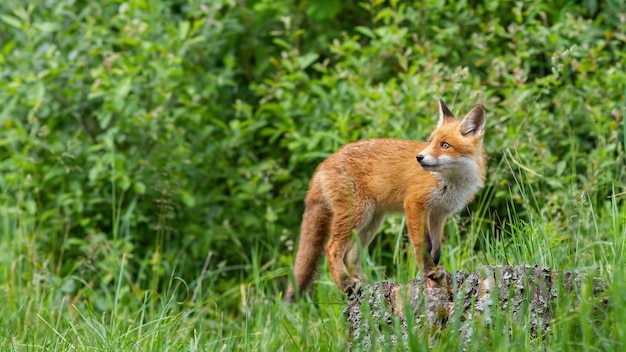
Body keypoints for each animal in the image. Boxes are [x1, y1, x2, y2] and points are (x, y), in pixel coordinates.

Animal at [286, 99, 486, 302]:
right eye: (430, 142)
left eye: (445, 145)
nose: (419, 157)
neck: (450, 182)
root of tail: (322, 165)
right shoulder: (415, 204)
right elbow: (424, 245)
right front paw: (429, 271)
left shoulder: (439, 214)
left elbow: (436, 250)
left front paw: (436, 270)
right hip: (357, 214)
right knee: (332, 248)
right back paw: (344, 282)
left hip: (371, 222)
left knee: (350, 255)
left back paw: (363, 282)